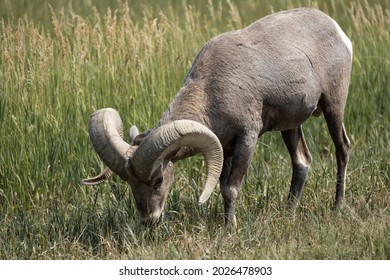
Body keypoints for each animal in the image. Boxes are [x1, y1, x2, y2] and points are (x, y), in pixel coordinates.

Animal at [82, 7, 354, 226]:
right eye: (129, 183)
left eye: (158, 180)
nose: (149, 220)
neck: (210, 91)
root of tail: (337, 30)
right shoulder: (224, 147)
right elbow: (223, 185)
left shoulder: (247, 139)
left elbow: (230, 189)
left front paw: (229, 228)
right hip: (290, 126)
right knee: (301, 161)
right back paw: (289, 211)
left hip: (333, 105)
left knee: (342, 148)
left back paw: (338, 206)